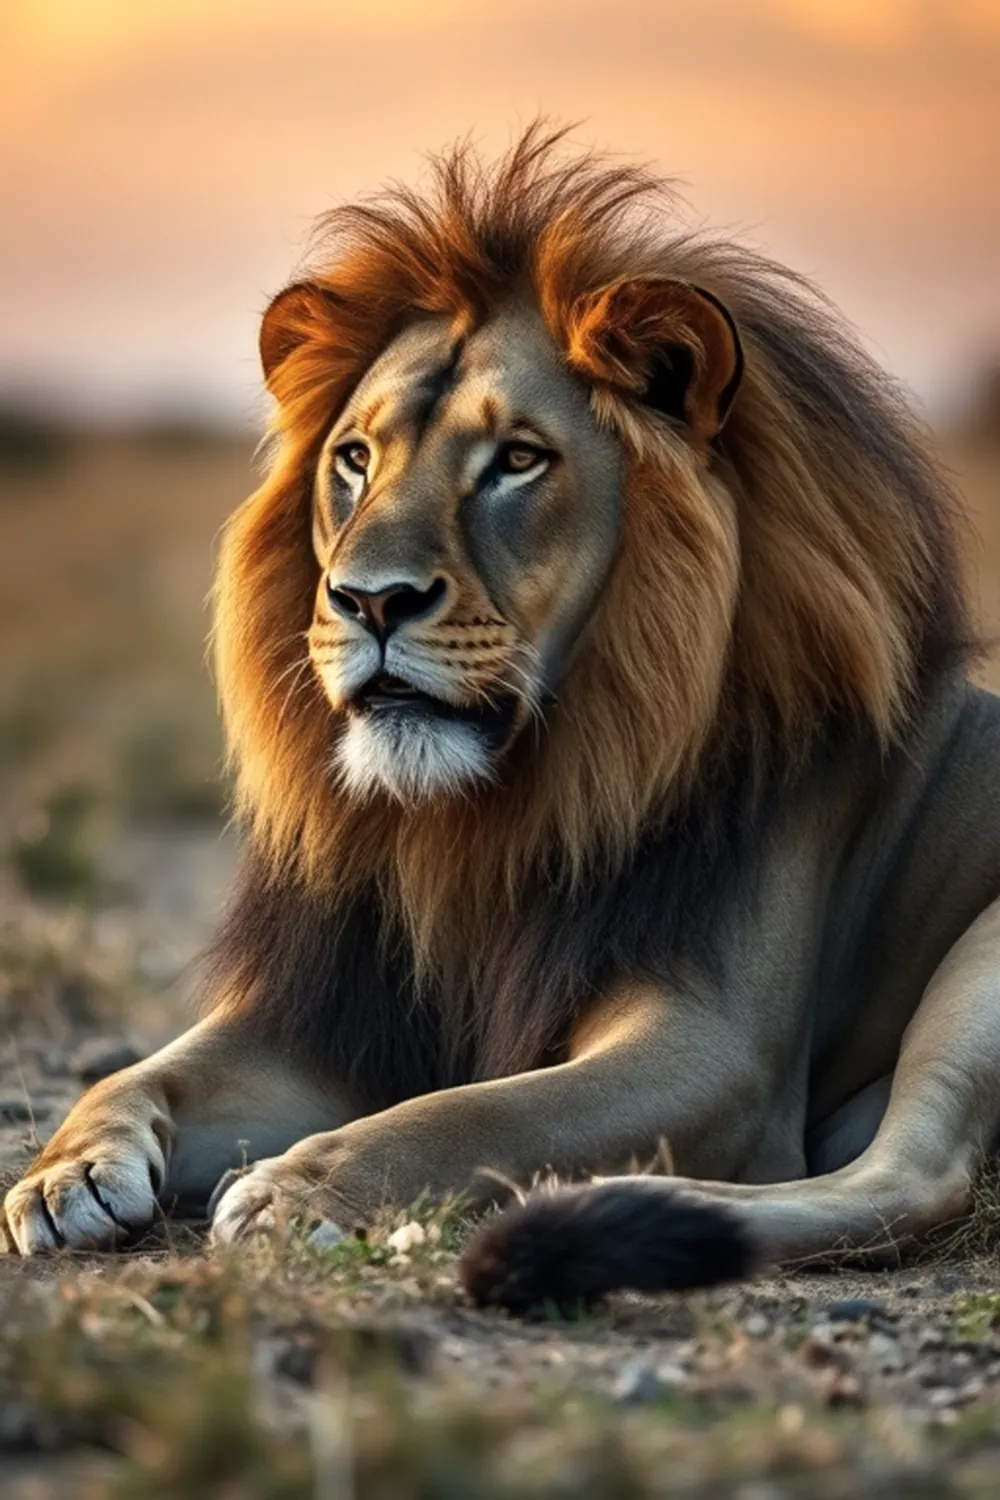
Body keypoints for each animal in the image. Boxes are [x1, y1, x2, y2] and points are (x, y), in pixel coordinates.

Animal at [4, 127, 1000, 1311]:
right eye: (354, 458)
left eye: (517, 460)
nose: (369, 600)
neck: (483, 820)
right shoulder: (337, 1019)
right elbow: (139, 1070)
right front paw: (64, 1173)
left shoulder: (714, 1048)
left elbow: (480, 1109)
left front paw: (300, 1188)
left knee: (911, 1181)